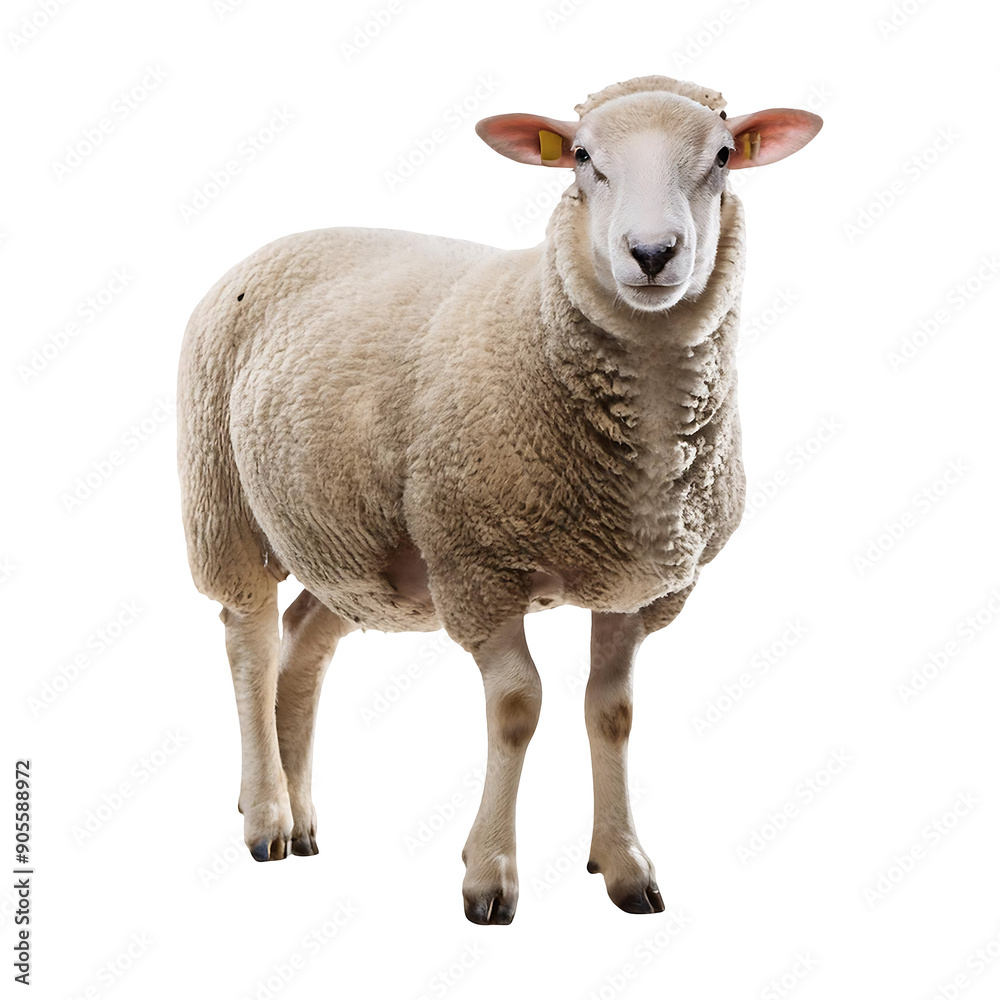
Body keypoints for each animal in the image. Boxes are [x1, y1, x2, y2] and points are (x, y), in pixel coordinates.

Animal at [177, 74, 822, 924]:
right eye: (582, 157)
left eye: (722, 157)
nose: (653, 254)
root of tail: (280, 242)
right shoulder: (474, 563)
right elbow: (518, 706)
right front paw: (489, 875)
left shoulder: (639, 587)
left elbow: (611, 711)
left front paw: (625, 866)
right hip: (222, 501)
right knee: (248, 638)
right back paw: (267, 817)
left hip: (352, 548)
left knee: (303, 643)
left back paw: (305, 812)